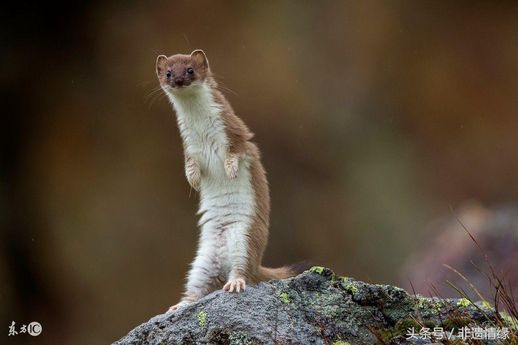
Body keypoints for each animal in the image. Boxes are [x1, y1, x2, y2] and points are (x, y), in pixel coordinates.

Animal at [156, 49, 298, 310]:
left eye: (190, 69)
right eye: (169, 72)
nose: (179, 80)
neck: (201, 129)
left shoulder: (235, 133)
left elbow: (236, 153)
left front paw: (230, 170)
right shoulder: (189, 146)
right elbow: (190, 166)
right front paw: (193, 181)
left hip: (245, 238)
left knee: (243, 271)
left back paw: (235, 283)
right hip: (201, 262)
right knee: (196, 288)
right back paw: (180, 305)